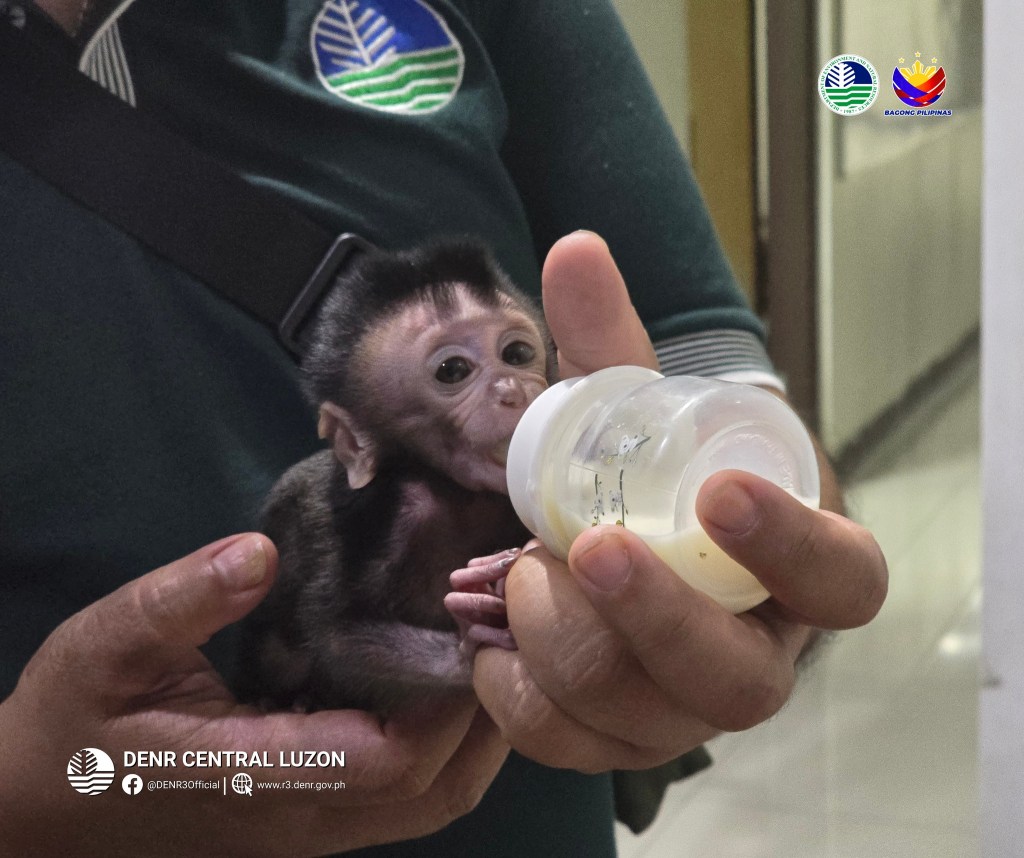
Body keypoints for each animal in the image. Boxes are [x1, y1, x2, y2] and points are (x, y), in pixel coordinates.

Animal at [234, 239, 555, 715]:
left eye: (516, 354)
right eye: (453, 370)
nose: (512, 391)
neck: (457, 492)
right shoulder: (385, 513)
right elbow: (337, 642)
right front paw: (469, 640)